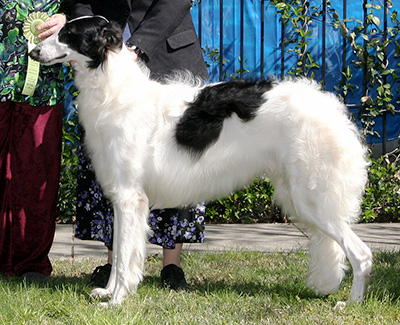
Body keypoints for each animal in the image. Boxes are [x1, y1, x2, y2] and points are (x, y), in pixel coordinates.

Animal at [29, 15, 374, 306]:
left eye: (68, 34)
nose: (33, 51)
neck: (115, 91)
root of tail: (331, 108)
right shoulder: (122, 198)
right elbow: (120, 255)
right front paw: (109, 291)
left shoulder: (129, 197)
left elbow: (125, 256)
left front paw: (116, 302)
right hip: (298, 195)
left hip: (311, 198)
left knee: (362, 253)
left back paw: (351, 303)